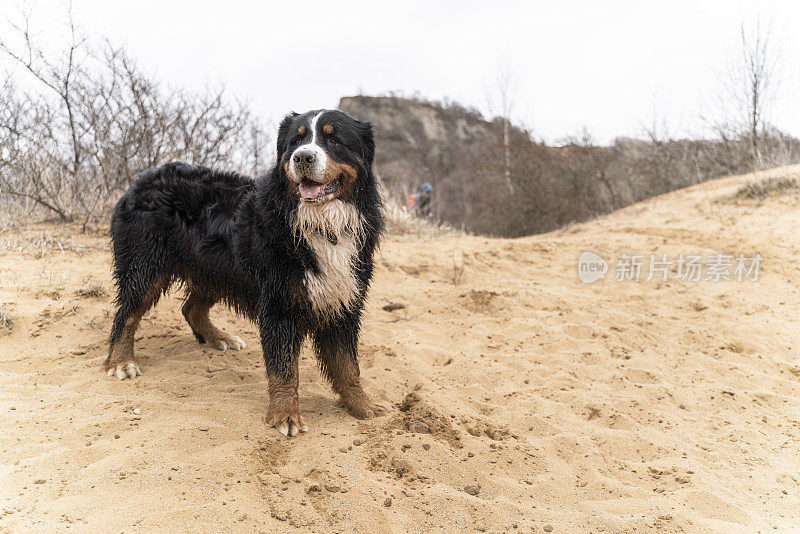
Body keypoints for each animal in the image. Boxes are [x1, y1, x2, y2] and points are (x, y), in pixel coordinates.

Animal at [104, 111, 386, 438]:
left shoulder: (344, 300)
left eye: (334, 140)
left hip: (215, 267)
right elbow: (284, 368)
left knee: (191, 308)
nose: (302, 157)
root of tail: (143, 178)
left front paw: (362, 405)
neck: (321, 225)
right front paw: (285, 414)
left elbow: (347, 365)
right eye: (296, 141)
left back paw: (219, 338)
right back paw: (121, 361)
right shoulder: (280, 304)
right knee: (127, 314)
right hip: (146, 265)